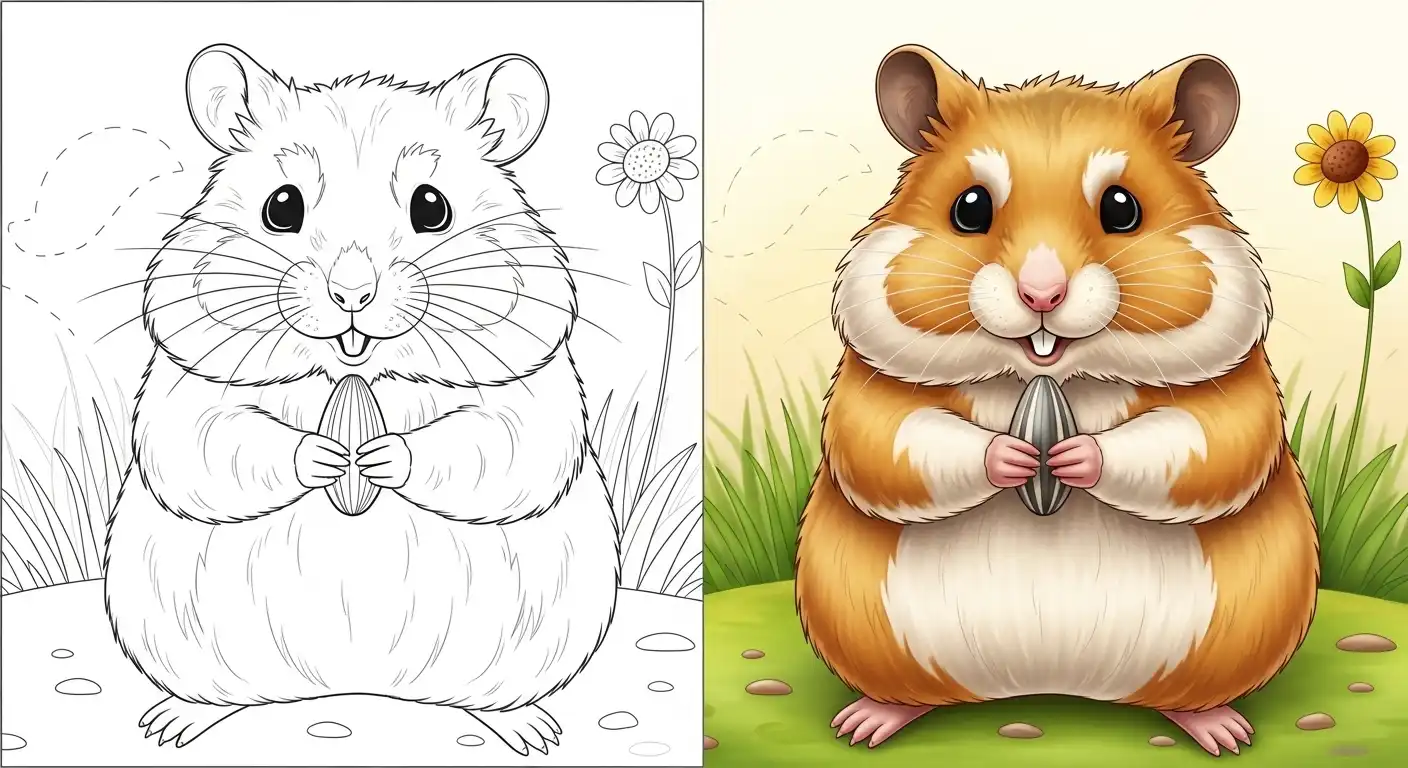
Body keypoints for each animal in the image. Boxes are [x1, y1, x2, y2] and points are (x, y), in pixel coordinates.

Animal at [103, 44, 619, 756]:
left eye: (432, 207)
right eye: (281, 207)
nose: (351, 294)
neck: (357, 373)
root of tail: (354, 686)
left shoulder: (530, 391)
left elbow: (494, 445)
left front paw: (376, 458)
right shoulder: (187, 387)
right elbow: (216, 443)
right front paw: (327, 457)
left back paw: (532, 732)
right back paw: (173, 725)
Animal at [796, 45, 1317, 757]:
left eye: (1122, 209)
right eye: (969, 208)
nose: (1042, 293)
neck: (1050, 375)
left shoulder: (1235, 395)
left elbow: (1200, 440)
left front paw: (1072, 457)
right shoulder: (870, 394)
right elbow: (896, 439)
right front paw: (1015, 457)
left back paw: (1224, 732)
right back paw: (865, 724)